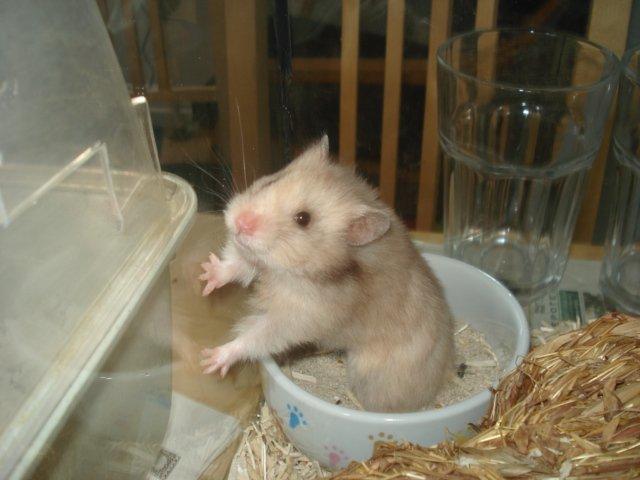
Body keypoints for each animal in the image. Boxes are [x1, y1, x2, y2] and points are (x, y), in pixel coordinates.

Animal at [199, 135, 454, 413]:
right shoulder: (260, 260)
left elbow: (256, 335)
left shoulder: (298, 317)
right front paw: (206, 277)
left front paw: (212, 360)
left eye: (303, 219)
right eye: (271, 181)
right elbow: (239, 264)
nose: (240, 223)